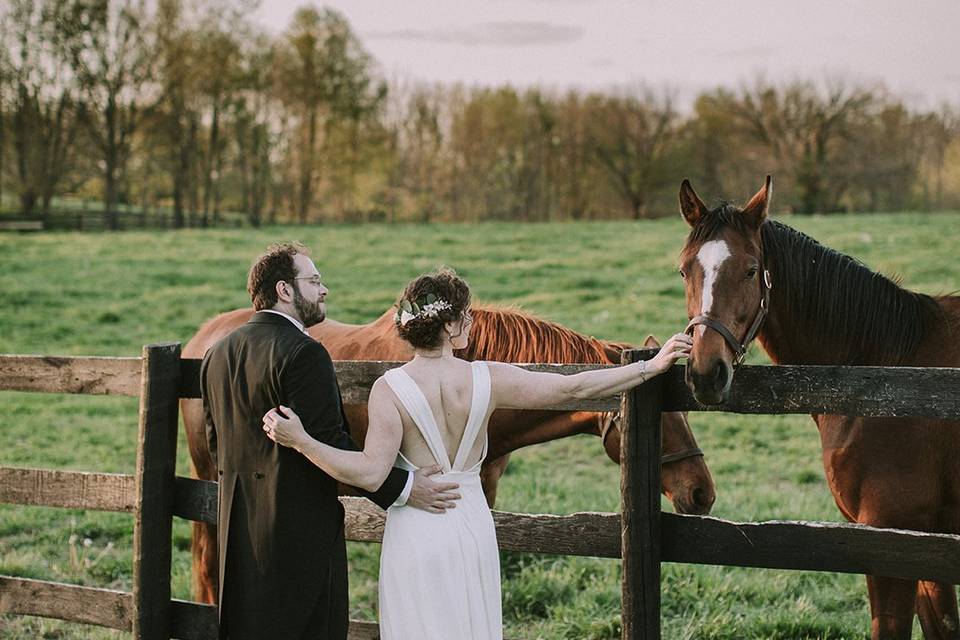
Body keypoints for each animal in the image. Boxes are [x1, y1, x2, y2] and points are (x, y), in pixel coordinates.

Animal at [680, 176, 960, 640]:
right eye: (685, 270)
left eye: (751, 270)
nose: (706, 373)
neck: (884, 371)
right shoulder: (925, 548)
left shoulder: (892, 542)